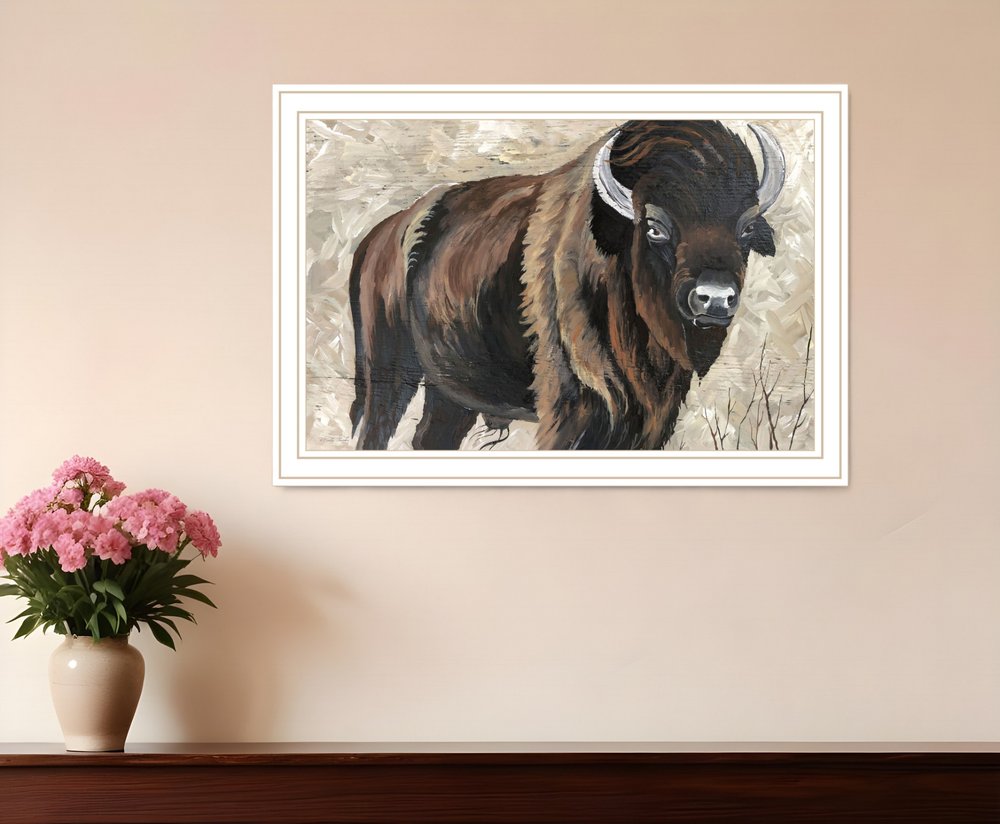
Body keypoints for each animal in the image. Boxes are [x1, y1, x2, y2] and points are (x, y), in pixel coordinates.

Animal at [348, 120, 785, 450]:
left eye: (746, 229)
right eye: (655, 227)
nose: (715, 298)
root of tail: (380, 236)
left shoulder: (653, 416)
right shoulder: (575, 410)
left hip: (451, 393)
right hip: (387, 373)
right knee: (375, 431)